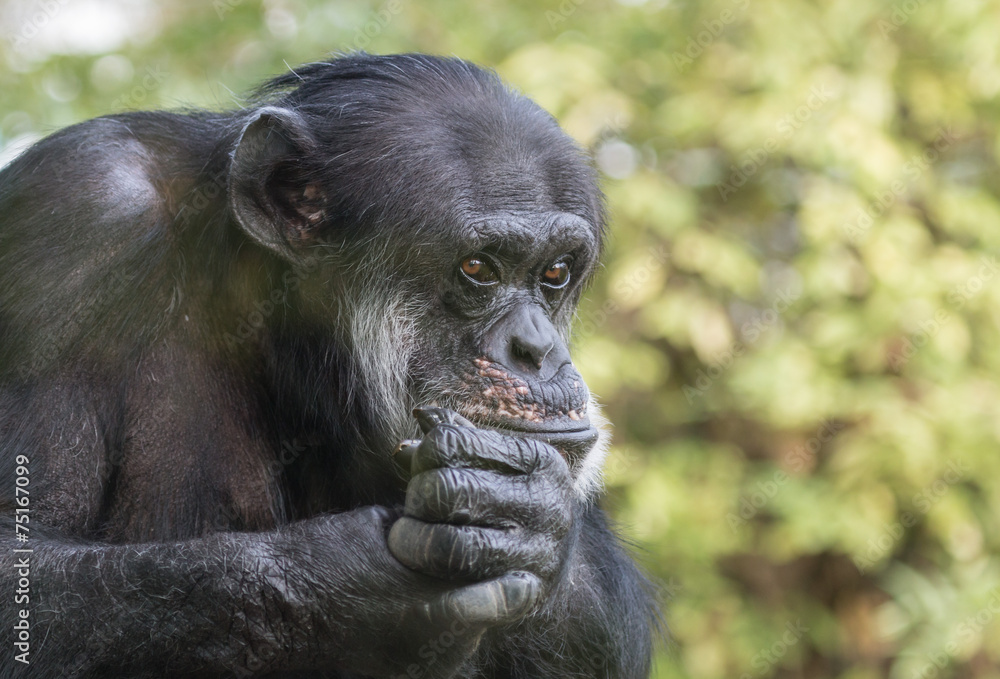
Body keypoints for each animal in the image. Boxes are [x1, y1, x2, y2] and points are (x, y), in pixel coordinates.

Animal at [0, 54, 656, 679]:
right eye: (478, 268)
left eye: (555, 272)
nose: (538, 351)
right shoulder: (70, 222)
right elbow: (20, 559)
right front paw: (363, 593)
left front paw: (530, 521)